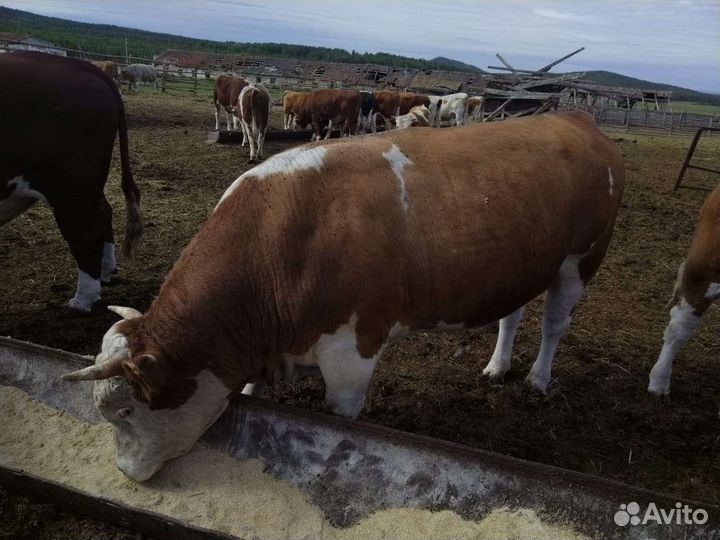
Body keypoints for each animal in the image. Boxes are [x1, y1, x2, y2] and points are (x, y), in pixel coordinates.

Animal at [1, 51, 142, 312]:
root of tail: (80, 65)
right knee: (105, 211)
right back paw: (106, 270)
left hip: (71, 186)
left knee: (86, 230)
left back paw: (82, 301)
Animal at [62, 111, 624, 481]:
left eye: (125, 412)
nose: (124, 472)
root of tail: (572, 118)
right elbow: (250, 393)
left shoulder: (352, 353)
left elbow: (340, 420)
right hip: (526, 263)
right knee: (513, 314)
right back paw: (497, 366)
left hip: (581, 259)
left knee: (555, 324)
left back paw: (537, 379)